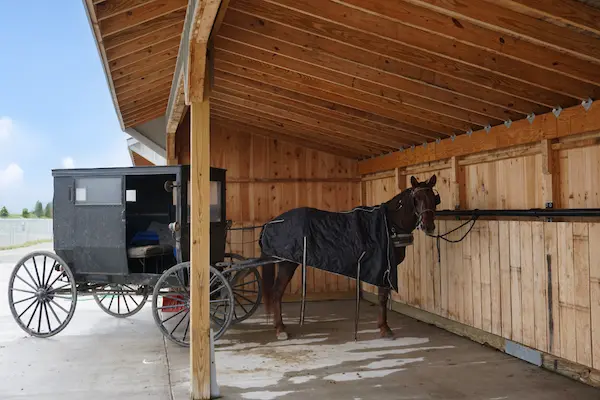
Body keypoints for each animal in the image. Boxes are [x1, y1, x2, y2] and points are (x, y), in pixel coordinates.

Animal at [260, 173, 438, 340]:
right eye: (416, 199)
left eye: (433, 198)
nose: (428, 226)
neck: (389, 223)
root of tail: (272, 222)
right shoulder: (383, 267)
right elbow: (382, 298)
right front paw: (385, 328)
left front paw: (382, 326)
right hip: (287, 264)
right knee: (277, 292)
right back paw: (280, 329)